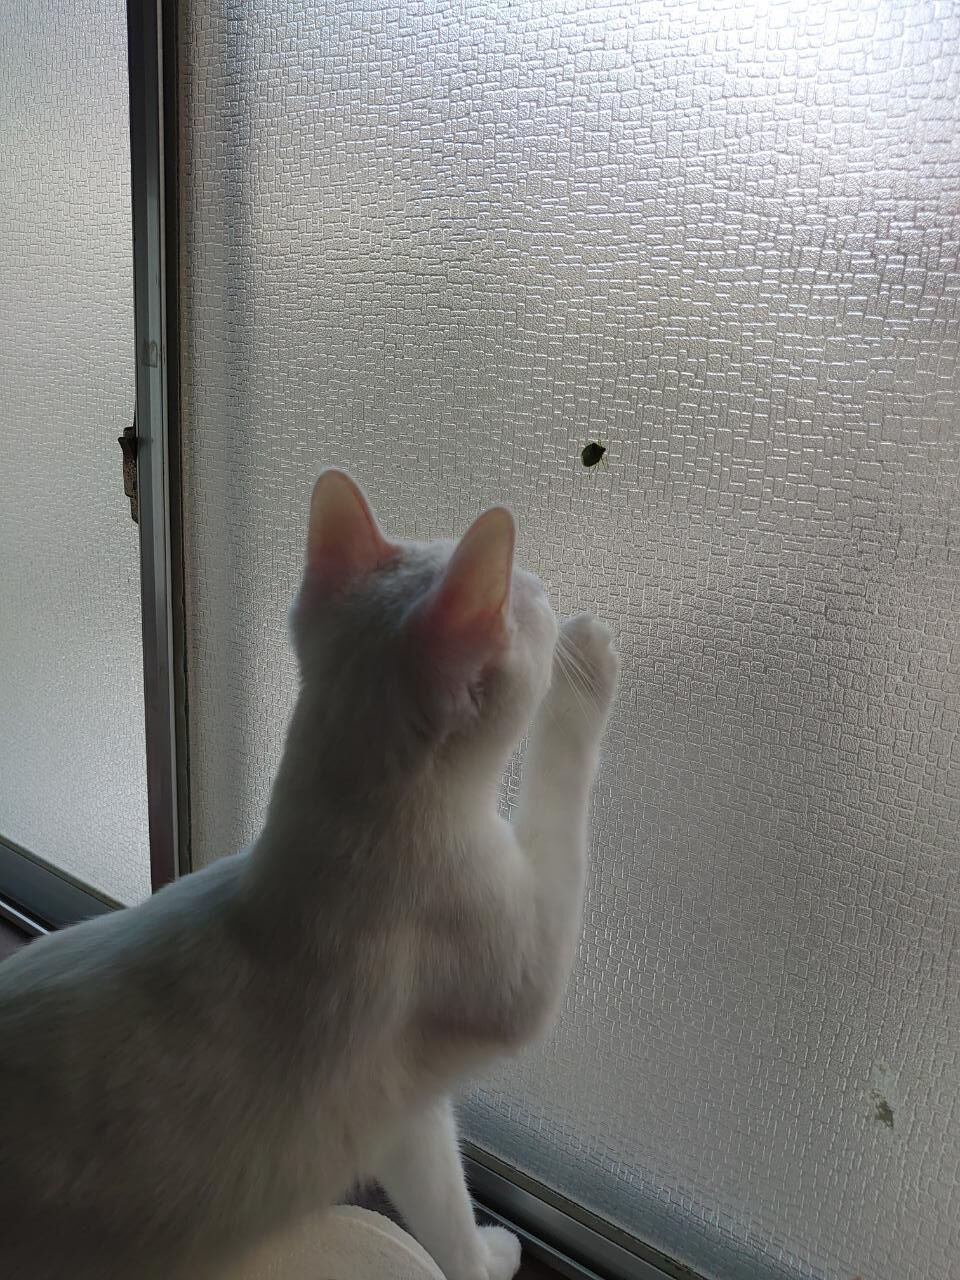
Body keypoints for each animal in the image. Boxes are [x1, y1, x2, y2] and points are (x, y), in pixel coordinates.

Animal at [0, 469, 619, 1280]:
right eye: (527, 593)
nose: (547, 587)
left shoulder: (401, 1114)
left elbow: (442, 1203)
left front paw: (478, 1255)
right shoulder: (527, 970)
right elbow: (561, 798)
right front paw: (589, 657)